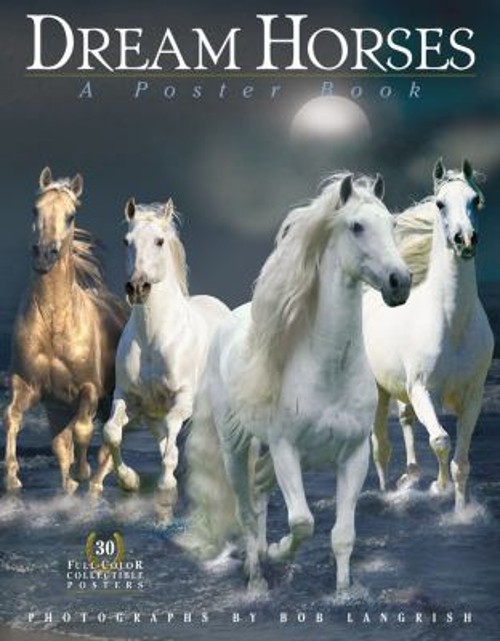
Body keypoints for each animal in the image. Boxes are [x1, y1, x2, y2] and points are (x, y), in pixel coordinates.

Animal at [4, 167, 127, 494]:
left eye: (71, 215)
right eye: (35, 209)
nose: (44, 254)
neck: (53, 323)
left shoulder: (89, 389)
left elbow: (83, 431)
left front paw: (83, 472)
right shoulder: (30, 386)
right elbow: (13, 418)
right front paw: (12, 476)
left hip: (109, 400)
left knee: (106, 443)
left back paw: (95, 482)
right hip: (57, 408)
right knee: (61, 444)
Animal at [89, 198, 231, 521]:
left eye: (159, 241)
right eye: (126, 241)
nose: (137, 288)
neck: (154, 340)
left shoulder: (182, 401)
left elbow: (170, 452)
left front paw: (166, 488)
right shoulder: (128, 398)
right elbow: (112, 433)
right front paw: (129, 480)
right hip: (153, 415)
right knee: (164, 439)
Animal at [181, 173, 411, 592]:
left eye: (392, 224)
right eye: (357, 226)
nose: (399, 282)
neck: (330, 371)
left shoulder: (354, 455)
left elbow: (342, 535)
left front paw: (342, 593)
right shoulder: (286, 449)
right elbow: (303, 522)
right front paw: (278, 553)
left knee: (259, 497)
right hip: (235, 448)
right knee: (245, 510)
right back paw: (256, 577)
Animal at [363, 159, 494, 512]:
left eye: (475, 199)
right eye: (439, 203)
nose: (465, 240)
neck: (453, 326)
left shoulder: (472, 396)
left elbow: (461, 463)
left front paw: (460, 511)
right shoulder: (423, 391)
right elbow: (440, 440)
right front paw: (439, 487)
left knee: (405, 421)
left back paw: (411, 475)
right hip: (379, 391)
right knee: (380, 444)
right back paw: (388, 493)